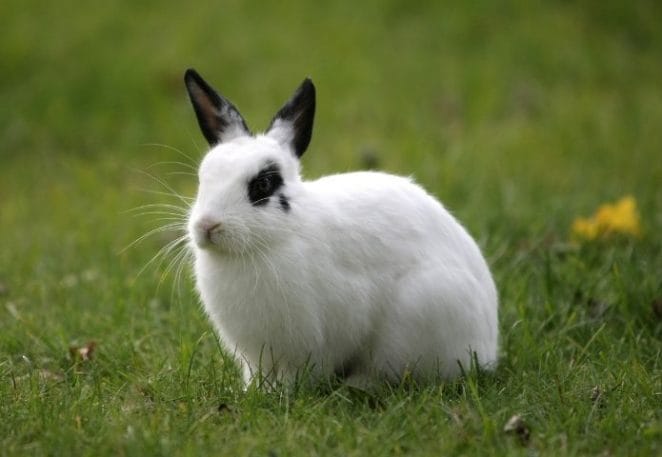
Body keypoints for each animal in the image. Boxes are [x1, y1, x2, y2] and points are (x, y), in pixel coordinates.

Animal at [182, 69, 498, 386]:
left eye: (263, 184)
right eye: (203, 178)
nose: (207, 225)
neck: (279, 237)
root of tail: (489, 344)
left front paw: (284, 391)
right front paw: (256, 390)